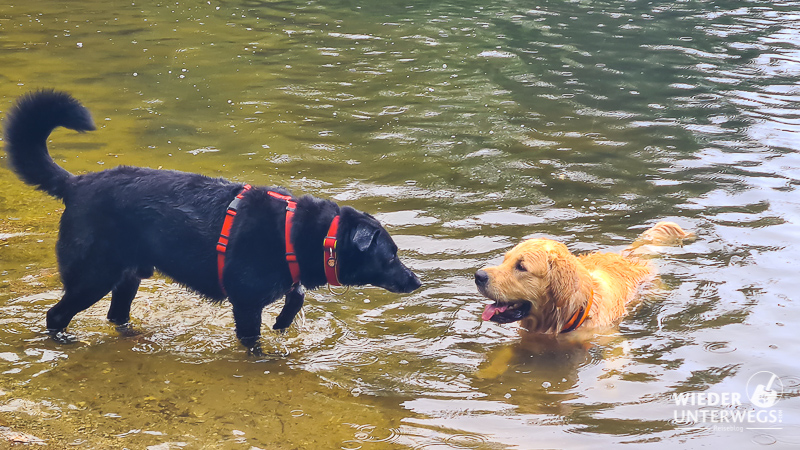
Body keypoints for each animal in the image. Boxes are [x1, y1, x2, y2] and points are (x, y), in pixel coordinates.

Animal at [1, 90, 424, 352]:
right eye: (390, 256)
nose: (417, 281)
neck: (303, 235)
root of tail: (75, 184)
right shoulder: (246, 304)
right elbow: (254, 341)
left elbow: (292, 302)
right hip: (94, 274)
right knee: (56, 315)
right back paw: (67, 342)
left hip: (128, 276)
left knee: (115, 315)